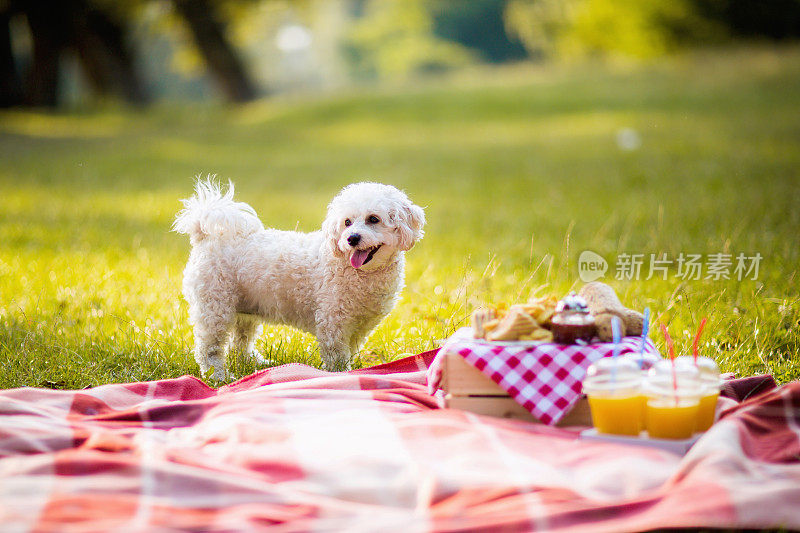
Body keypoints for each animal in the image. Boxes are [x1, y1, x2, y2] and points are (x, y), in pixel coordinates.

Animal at [173, 179, 424, 378]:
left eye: (373, 219)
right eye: (347, 222)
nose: (351, 238)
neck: (355, 271)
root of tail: (204, 236)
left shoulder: (359, 326)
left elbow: (351, 350)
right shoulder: (332, 323)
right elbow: (337, 357)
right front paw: (340, 375)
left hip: (244, 310)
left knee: (241, 343)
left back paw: (255, 362)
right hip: (215, 308)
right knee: (210, 348)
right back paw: (218, 376)